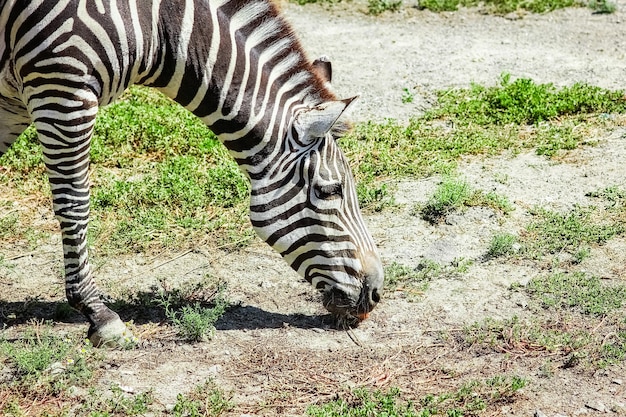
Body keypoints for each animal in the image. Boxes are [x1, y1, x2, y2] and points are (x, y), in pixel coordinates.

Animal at [0, 0, 382, 344]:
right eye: (330, 190)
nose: (376, 293)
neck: (157, 26)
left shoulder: (15, 98)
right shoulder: (62, 89)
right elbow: (75, 204)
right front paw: (98, 314)